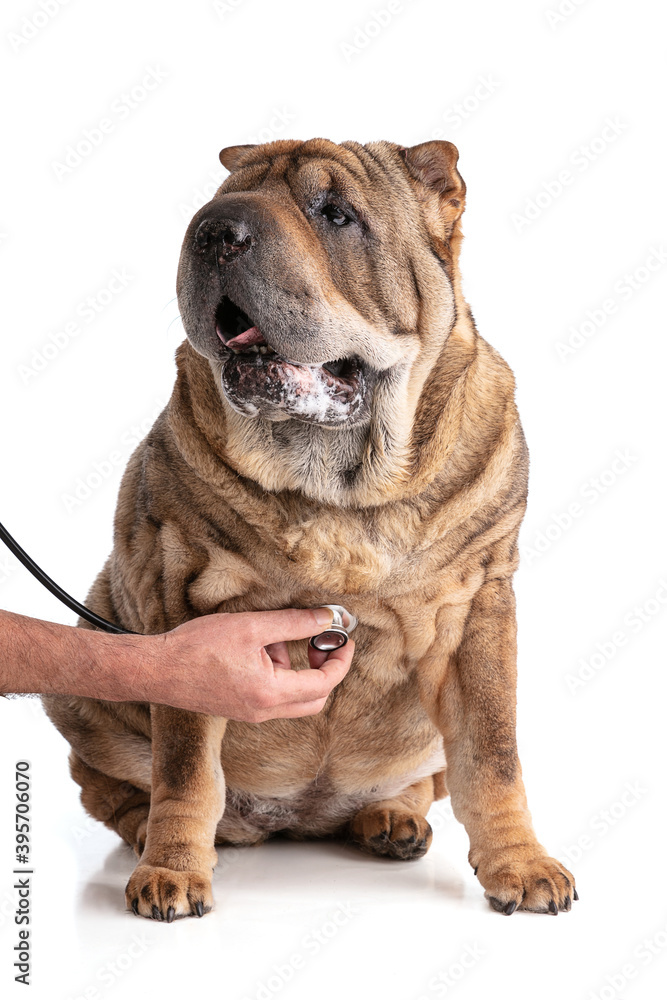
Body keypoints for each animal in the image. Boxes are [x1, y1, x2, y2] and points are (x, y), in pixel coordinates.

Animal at [41, 137, 576, 916]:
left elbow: (491, 753)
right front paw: (171, 871)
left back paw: (392, 820)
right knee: (116, 789)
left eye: (335, 213)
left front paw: (521, 864)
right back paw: (151, 832)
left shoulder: (477, 606)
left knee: (427, 781)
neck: (340, 483)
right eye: (217, 200)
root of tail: (298, 817)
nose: (214, 231)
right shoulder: (180, 601)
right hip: (81, 687)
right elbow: (186, 766)